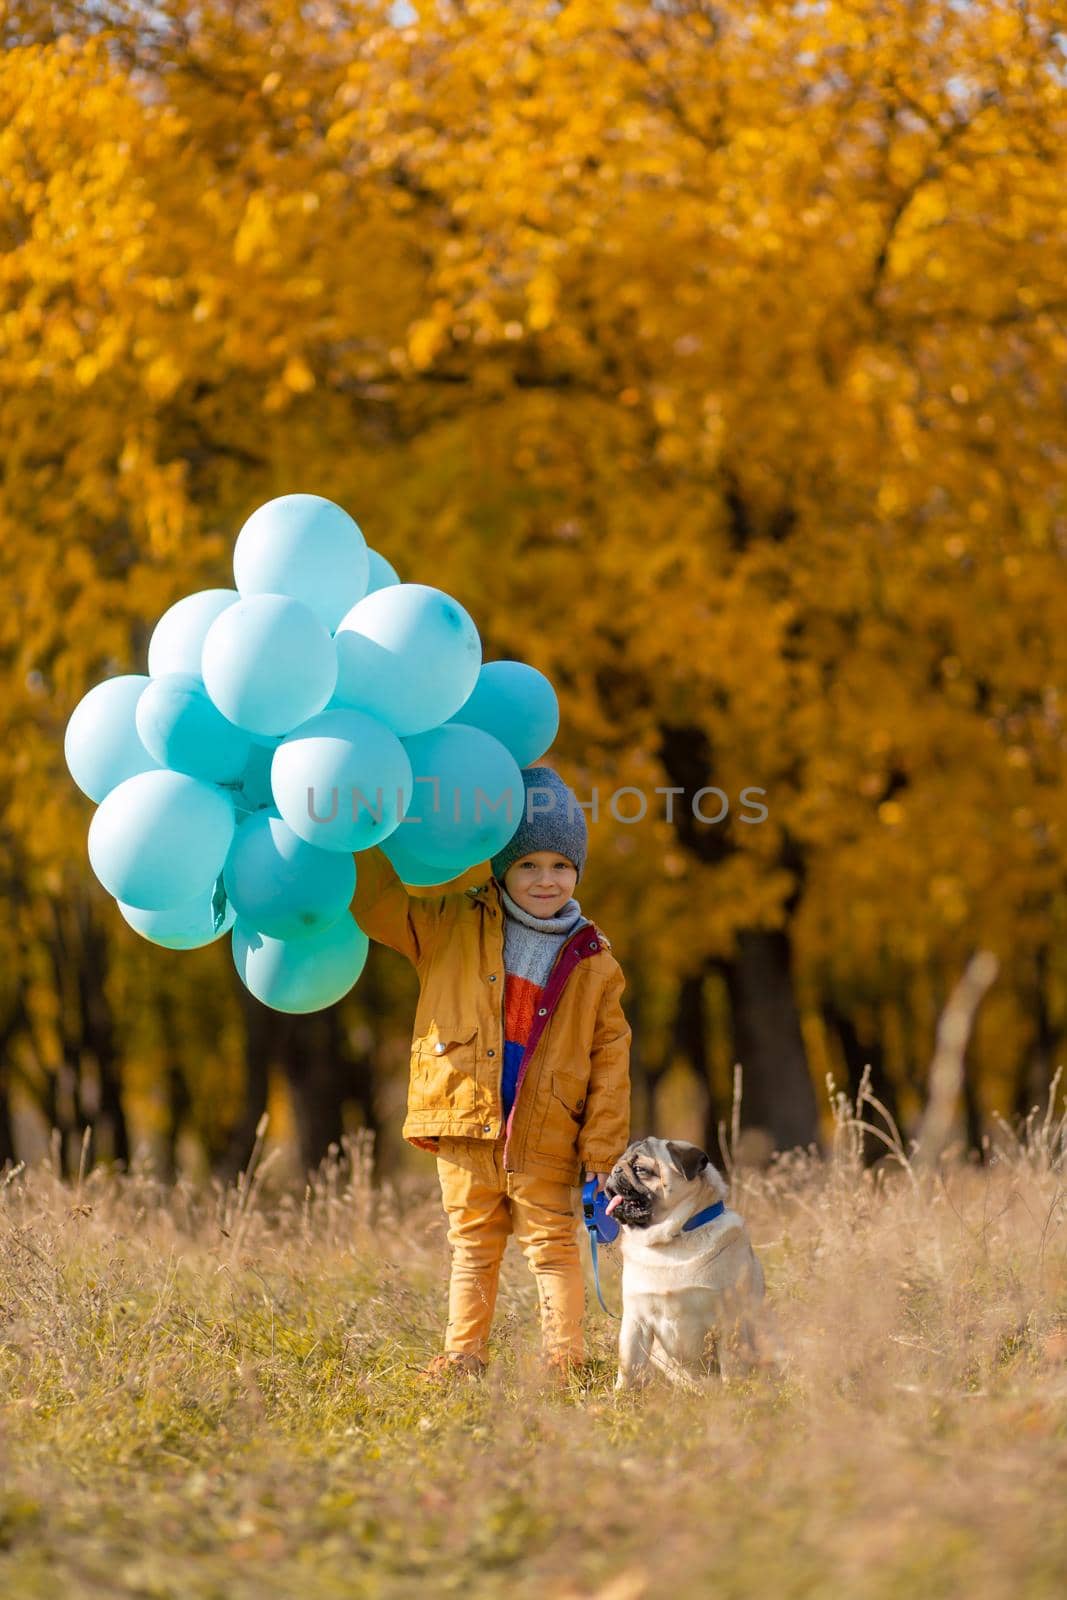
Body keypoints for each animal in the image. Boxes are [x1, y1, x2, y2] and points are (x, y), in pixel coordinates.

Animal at [604, 1139, 764, 1388]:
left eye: (640, 1169)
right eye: (618, 1163)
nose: (615, 1171)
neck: (670, 1240)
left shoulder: (728, 1320)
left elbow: (732, 1366)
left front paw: (734, 1393)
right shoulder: (635, 1322)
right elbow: (628, 1367)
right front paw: (621, 1395)